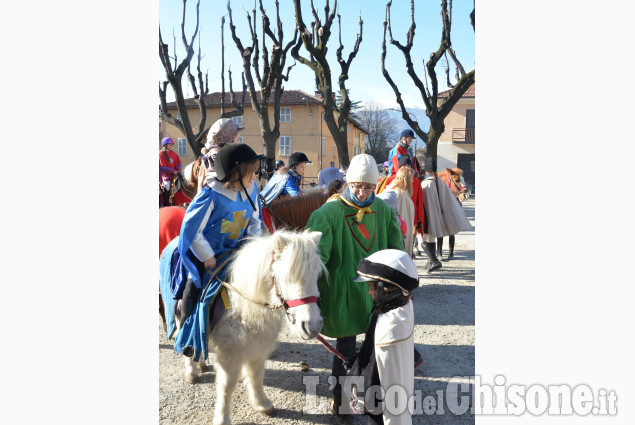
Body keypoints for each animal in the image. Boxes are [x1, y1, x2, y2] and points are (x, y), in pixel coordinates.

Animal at [174, 230, 326, 422]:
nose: (312, 326)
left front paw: (262, 404)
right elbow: (227, 385)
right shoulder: (229, 352)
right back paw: (192, 372)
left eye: (317, 276)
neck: (241, 304)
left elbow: (256, 375)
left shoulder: (258, 345)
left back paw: (201, 365)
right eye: (286, 278)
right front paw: (222, 418)